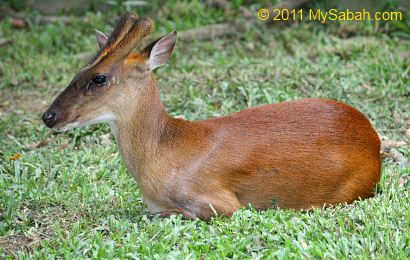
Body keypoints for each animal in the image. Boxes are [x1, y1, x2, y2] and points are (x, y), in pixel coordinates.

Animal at [41, 11, 382, 219]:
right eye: (78, 71)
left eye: (99, 78)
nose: (49, 116)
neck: (163, 151)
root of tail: (375, 141)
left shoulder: (222, 203)